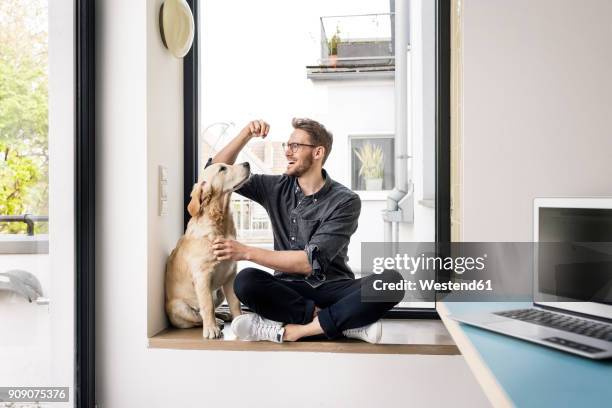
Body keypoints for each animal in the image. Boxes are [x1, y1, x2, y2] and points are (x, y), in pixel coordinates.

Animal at [166, 162, 250, 338]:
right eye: (222, 169)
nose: (247, 163)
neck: (220, 223)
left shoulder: (231, 275)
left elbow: (235, 302)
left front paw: (239, 320)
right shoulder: (202, 276)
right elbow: (207, 306)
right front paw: (211, 329)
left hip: (219, 292)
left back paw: (224, 315)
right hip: (177, 306)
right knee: (197, 318)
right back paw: (216, 322)